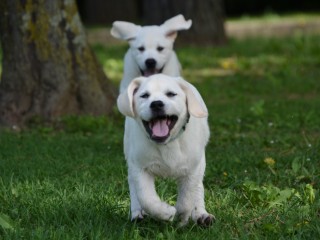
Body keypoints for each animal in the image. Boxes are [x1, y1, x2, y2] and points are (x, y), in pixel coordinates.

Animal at [117, 73, 215, 227]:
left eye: (171, 94)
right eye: (144, 96)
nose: (156, 104)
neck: (166, 144)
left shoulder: (193, 169)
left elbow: (187, 197)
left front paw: (182, 217)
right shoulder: (139, 167)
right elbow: (146, 198)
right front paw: (166, 212)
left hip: (200, 162)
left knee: (198, 187)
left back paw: (201, 214)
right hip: (129, 155)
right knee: (133, 185)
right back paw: (137, 214)